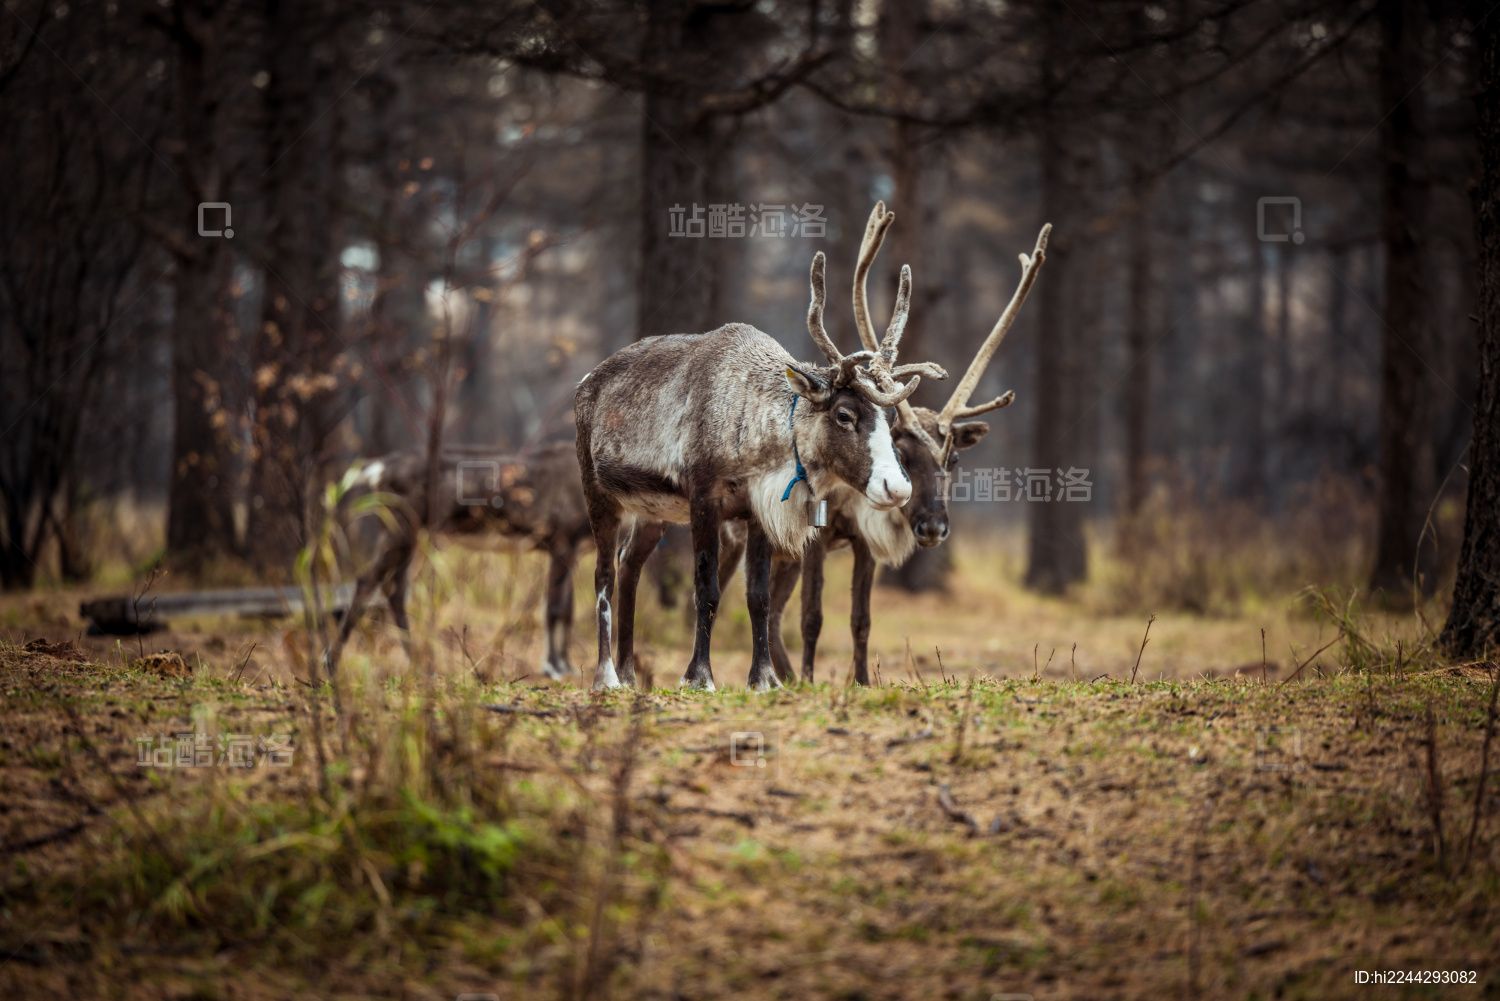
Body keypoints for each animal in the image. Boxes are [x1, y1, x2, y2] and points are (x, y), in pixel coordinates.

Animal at [326, 441, 592, 679]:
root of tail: (378, 468)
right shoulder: (561, 542)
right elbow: (554, 609)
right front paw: (554, 667)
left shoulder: (572, 552)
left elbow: (568, 610)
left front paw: (567, 666)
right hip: (399, 530)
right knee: (366, 582)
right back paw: (330, 664)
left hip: (413, 536)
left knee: (395, 592)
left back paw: (422, 669)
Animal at [574, 249, 945, 692]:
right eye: (844, 414)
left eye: (890, 418)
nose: (897, 488)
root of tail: (585, 383)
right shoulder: (704, 500)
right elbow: (707, 590)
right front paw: (699, 677)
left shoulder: (760, 511)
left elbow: (758, 596)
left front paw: (765, 679)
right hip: (598, 492)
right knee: (603, 575)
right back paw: (607, 677)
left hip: (653, 511)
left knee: (630, 565)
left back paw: (630, 675)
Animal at [717, 206, 1052, 685]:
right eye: (904, 453)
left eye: (953, 459)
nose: (933, 527)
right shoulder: (816, 539)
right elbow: (813, 617)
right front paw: (815, 682)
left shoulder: (861, 541)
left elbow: (861, 620)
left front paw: (859, 682)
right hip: (738, 538)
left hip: (784, 552)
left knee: (775, 613)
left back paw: (786, 677)